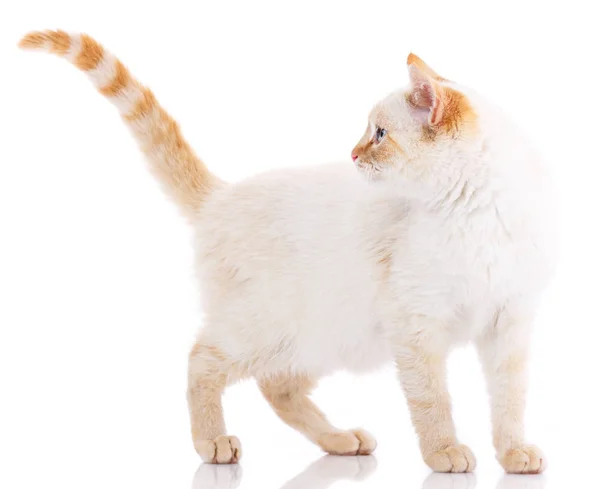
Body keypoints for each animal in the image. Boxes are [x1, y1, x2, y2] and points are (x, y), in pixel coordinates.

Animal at [19, 28, 556, 470]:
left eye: (380, 134)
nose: (353, 154)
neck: (477, 215)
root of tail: (222, 195)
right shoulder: (417, 326)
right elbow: (432, 400)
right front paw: (445, 451)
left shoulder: (509, 325)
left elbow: (510, 400)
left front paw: (514, 454)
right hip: (266, 325)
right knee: (201, 360)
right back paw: (212, 443)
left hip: (321, 337)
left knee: (277, 386)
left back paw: (339, 440)